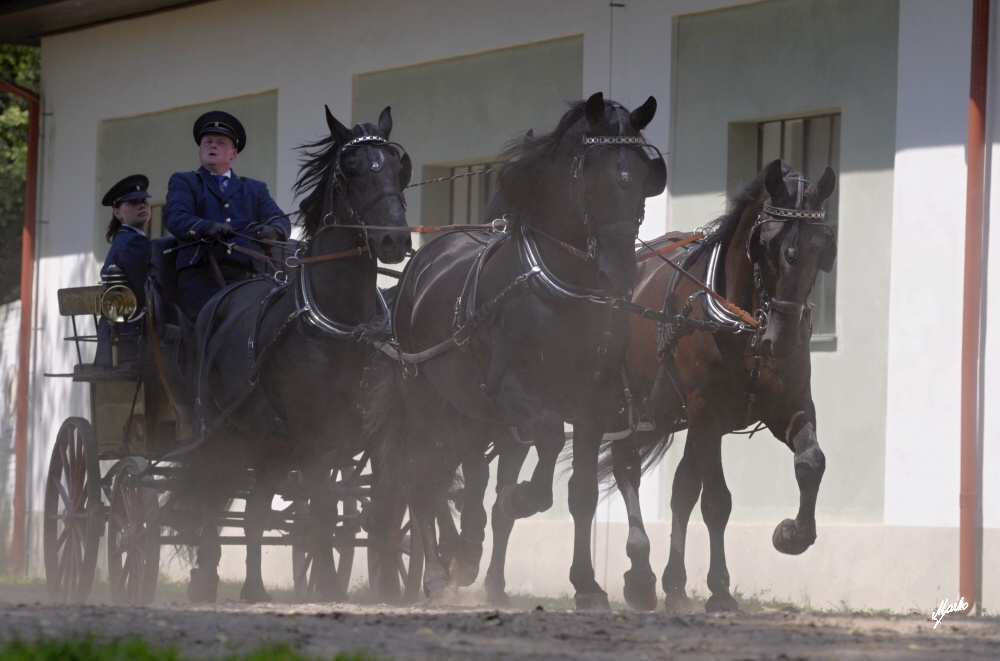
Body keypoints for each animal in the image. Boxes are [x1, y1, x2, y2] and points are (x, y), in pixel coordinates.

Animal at [172, 105, 410, 600]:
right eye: (350, 170)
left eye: (399, 169)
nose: (394, 241)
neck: (343, 324)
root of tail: (222, 296)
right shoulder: (316, 439)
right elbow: (319, 514)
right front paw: (328, 589)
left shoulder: (377, 433)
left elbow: (381, 508)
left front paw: (389, 586)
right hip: (222, 432)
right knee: (211, 497)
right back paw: (205, 578)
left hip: (271, 445)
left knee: (255, 510)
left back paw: (254, 588)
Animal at [368, 93, 664, 608]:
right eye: (592, 175)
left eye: (645, 177)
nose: (621, 273)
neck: (565, 287)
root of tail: (420, 264)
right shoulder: (514, 392)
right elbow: (547, 439)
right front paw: (520, 499)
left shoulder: (597, 401)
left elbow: (582, 492)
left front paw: (587, 584)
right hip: (423, 399)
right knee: (420, 477)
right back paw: (436, 575)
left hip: (469, 413)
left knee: (462, 476)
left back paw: (469, 559)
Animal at [596, 157, 840, 612]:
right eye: (766, 243)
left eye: (823, 246)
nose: (783, 340)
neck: (747, 324)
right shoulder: (706, 414)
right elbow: (717, 502)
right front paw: (721, 589)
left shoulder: (790, 408)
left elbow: (811, 462)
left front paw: (793, 534)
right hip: (625, 404)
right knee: (627, 469)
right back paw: (641, 576)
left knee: (680, 489)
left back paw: (674, 586)